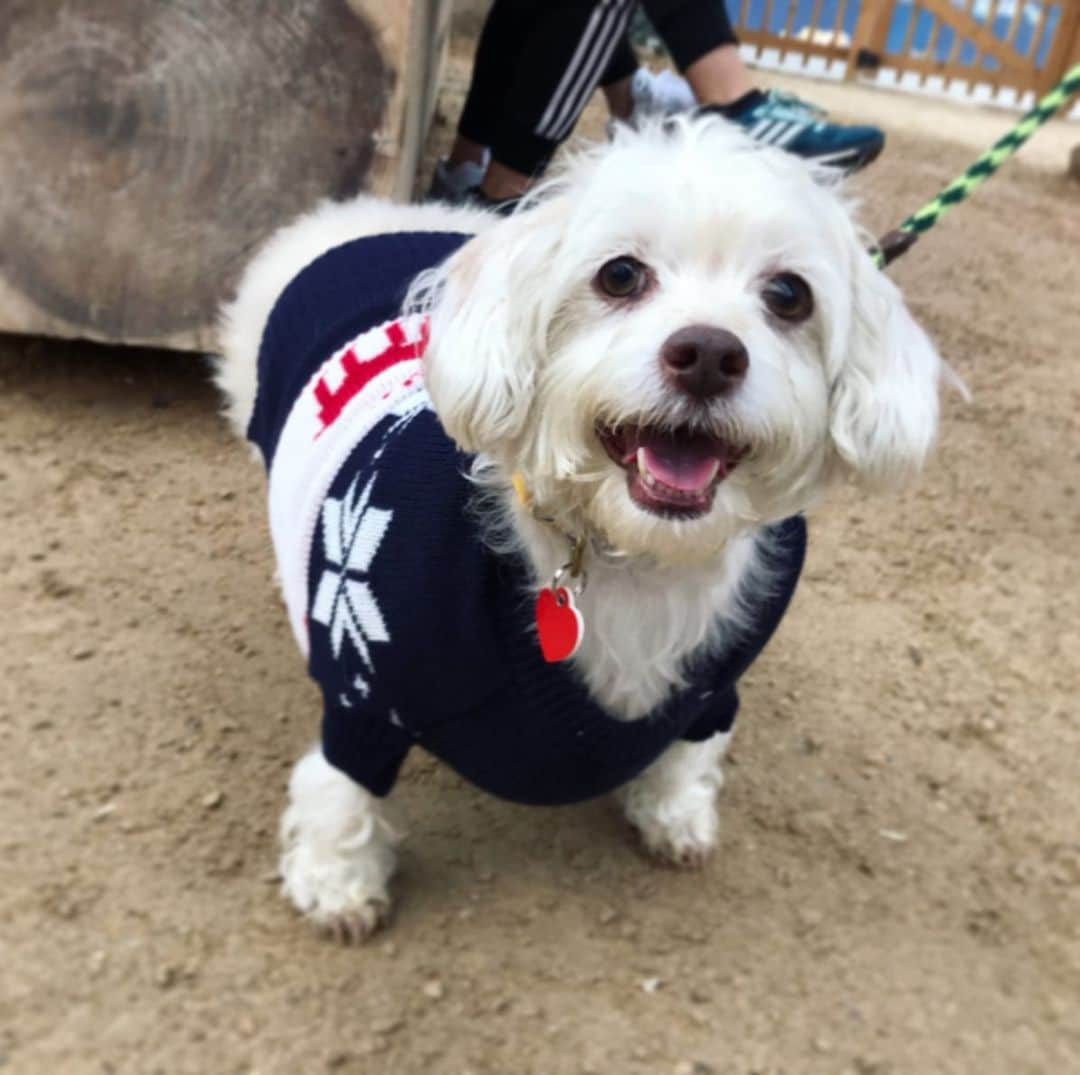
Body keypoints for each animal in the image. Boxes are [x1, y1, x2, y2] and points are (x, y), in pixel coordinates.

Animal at [214, 119, 941, 942]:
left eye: (789, 295)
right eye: (620, 275)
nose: (709, 354)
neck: (635, 560)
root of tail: (364, 216)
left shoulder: (710, 693)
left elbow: (689, 756)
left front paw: (675, 817)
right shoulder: (366, 697)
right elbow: (341, 794)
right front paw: (337, 885)